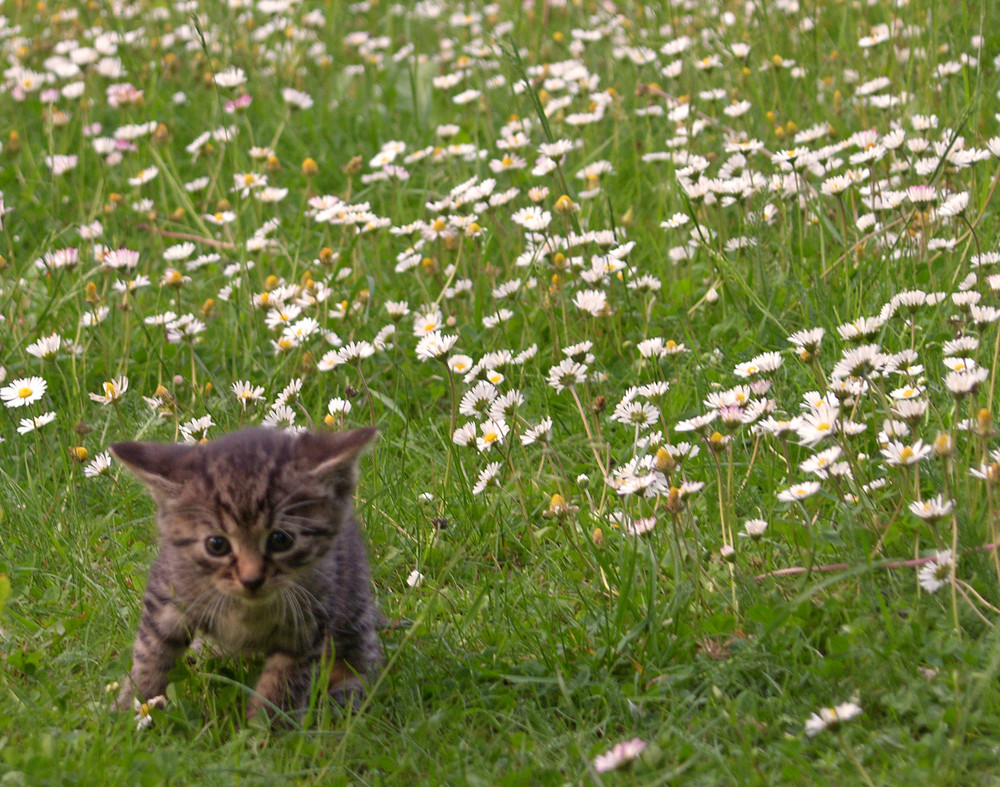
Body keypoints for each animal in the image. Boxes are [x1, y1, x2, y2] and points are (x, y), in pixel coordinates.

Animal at [111, 424, 384, 720]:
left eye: (281, 539)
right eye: (217, 545)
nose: (251, 579)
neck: (246, 610)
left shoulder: (312, 620)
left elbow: (284, 682)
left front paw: (268, 726)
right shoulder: (168, 591)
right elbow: (151, 650)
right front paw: (131, 707)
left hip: (353, 597)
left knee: (365, 653)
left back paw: (349, 691)